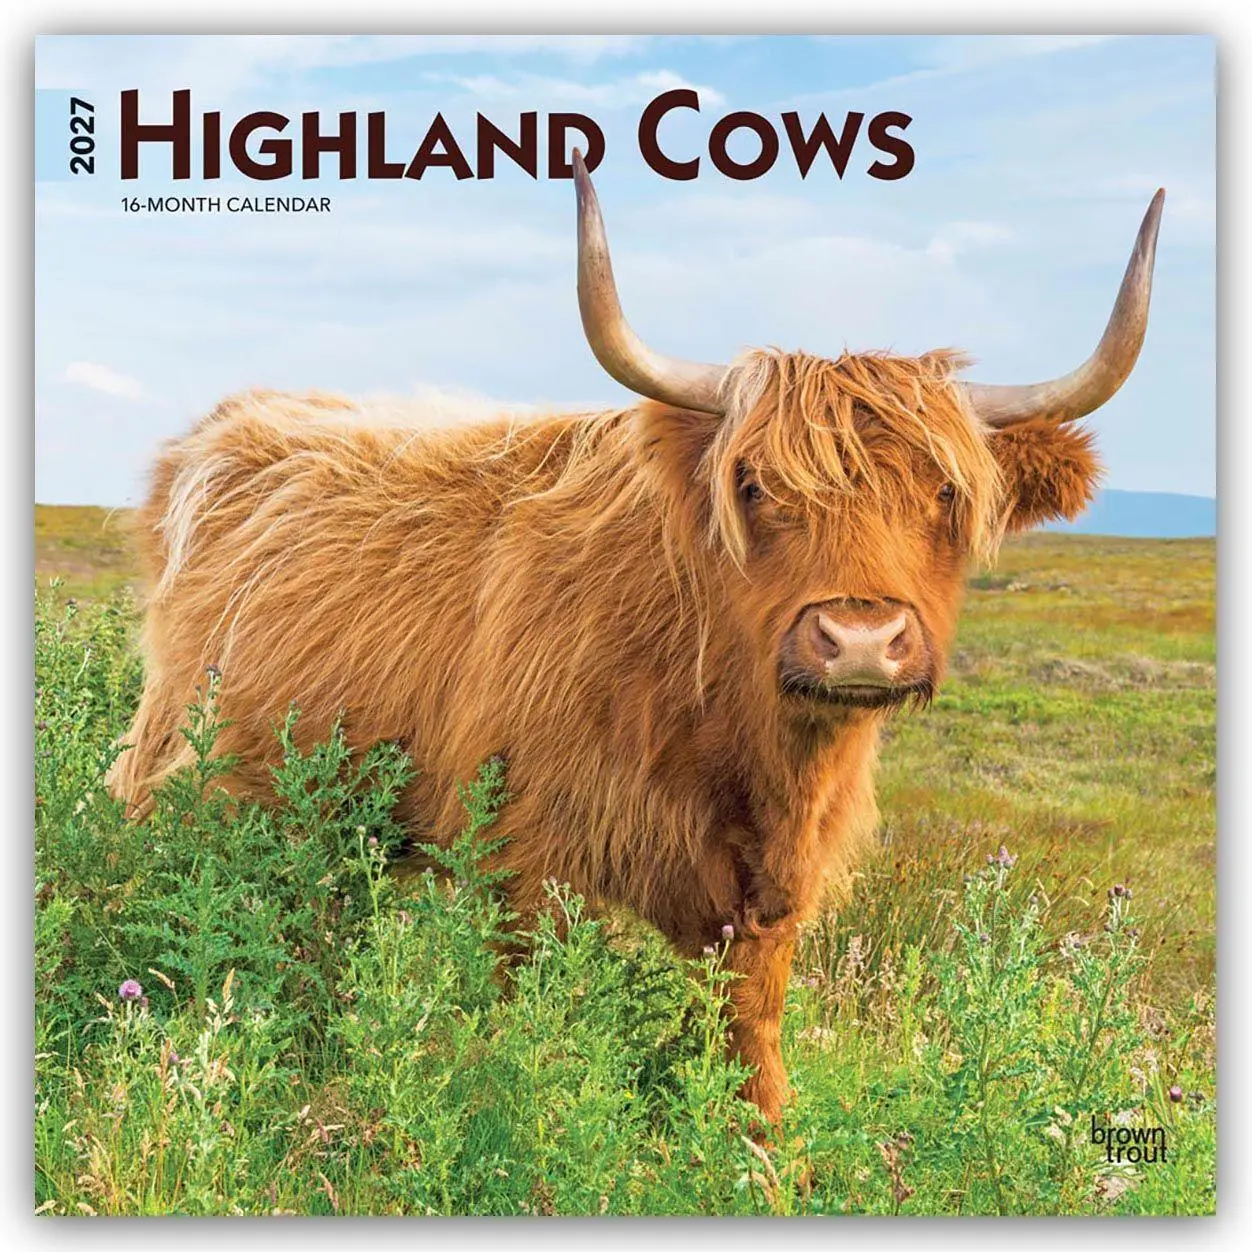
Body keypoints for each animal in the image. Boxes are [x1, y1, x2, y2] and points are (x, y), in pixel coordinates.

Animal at [108, 153, 1163, 1124]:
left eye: (946, 491)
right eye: (754, 486)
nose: (860, 639)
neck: (730, 731)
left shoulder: (768, 895)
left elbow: (749, 1040)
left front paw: (766, 1157)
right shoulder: (520, 851)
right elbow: (526, 1021)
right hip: (186, 774)